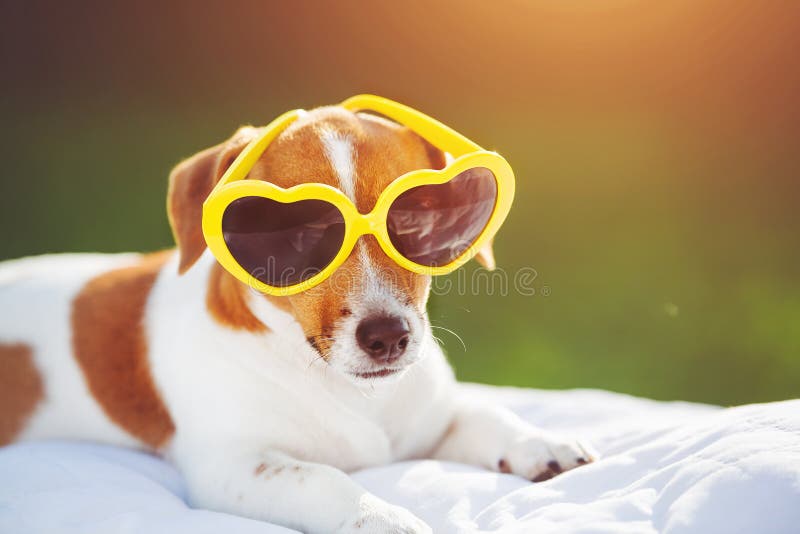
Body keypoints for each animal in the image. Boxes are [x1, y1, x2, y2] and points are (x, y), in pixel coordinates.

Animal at [1, 102, 592, 532]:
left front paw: (539, 442)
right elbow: (324, 479)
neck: (348, 388)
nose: (388, 337)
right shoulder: (234, 465)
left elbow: (483, 413)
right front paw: (383, 518)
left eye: (415, 221)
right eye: (300, 234)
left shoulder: (429, 419)